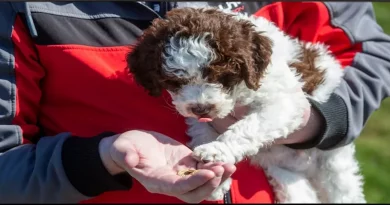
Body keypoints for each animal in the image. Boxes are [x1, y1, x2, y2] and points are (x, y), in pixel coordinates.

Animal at [125, 6, 366, 203]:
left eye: (221, 77)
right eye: (175, 82)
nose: (201, 108)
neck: (239, 93)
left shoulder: (285, 101)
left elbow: (248, 126)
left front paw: (217, 151)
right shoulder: (199, 118)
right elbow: (202, 129)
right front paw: (216, 179)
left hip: (334, 167)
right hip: (287, 177)